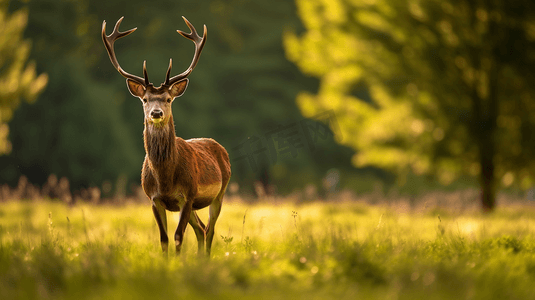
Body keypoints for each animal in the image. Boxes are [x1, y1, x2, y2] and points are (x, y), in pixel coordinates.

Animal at [101, 15, 231, 255]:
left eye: (168, 99)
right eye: (145, 99)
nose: (156, 112)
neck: (165, 180)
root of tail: (220, 148)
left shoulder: (187, 196)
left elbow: (178, 236)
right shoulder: (154, 199)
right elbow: (163, 238)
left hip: (220, 193)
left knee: (210, 230)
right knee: (201, 229)